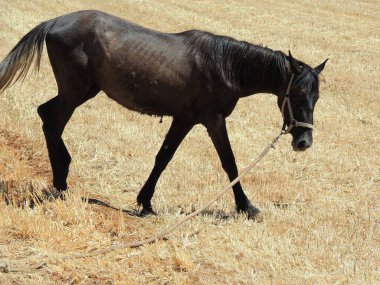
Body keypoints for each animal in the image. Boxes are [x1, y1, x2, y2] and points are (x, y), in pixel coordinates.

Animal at [0, 9, 326, 217]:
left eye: (317, 97)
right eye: (297, 94)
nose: (304, 142)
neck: (225, 64)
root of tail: (54, 21)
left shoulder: (184, 119)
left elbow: (163, 157)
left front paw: (145, 201)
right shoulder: (212, 120)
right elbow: (229, 163)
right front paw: (246, 206)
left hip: (81, 91)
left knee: (45, 114)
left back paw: (63, 174)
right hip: (74, 92)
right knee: (52, 123)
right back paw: (60, 180)